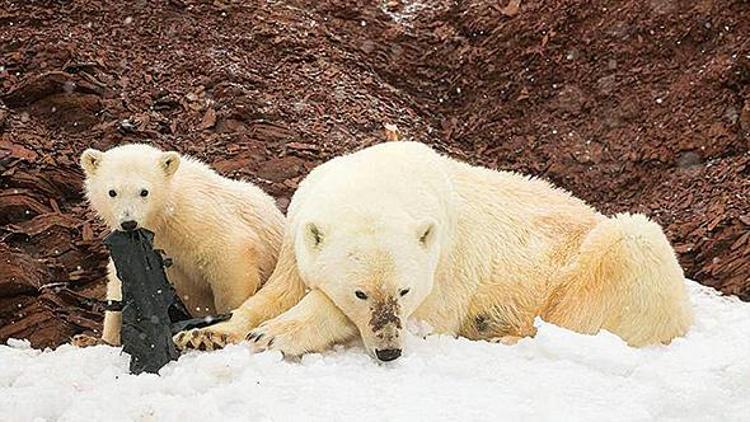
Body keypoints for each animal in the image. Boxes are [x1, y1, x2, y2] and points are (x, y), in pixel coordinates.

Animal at [74, 143, 284, 348]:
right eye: (112, 192)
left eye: (144, 191)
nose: (129, 223)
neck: (164, 215)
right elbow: (124, 283)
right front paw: (103, 338)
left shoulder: (197, 218)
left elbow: (230, 259)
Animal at [175, 141, 692, 360]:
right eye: (362, 292)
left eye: (404, 291)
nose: (389, 352)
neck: (382, 180)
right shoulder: (296, 234)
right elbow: (279, 289)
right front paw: (207, 334)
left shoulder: (445, 264)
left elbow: (424, 315)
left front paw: (273, 335)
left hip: (606, 257)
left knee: (623, 255)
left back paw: (507, 336)